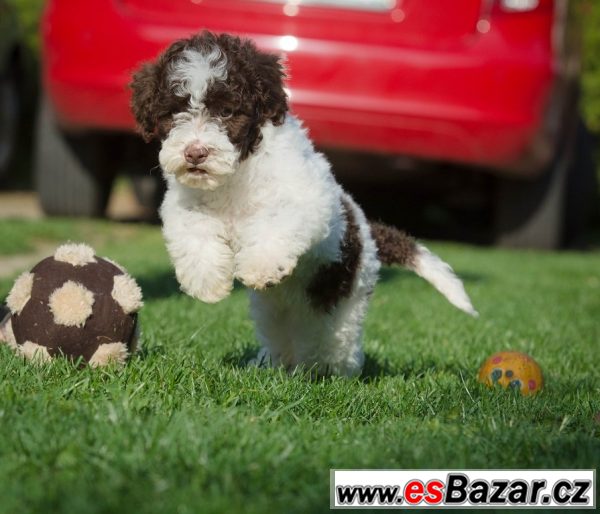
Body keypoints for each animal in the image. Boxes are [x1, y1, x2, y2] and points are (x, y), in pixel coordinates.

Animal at [131, 33, 478, 376]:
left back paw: (333, 372)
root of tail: (368, 230)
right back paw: (273, 364)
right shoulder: (187, 204)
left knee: (336, 342)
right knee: (283, 333)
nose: (195, 153)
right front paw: (207, 283)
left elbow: (276, 222)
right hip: (276, 309)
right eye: (172, 114)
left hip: (344, 301)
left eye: (227, 112)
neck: (236, 173)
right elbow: (195, 233)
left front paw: (259, 267)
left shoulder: (305, 196)